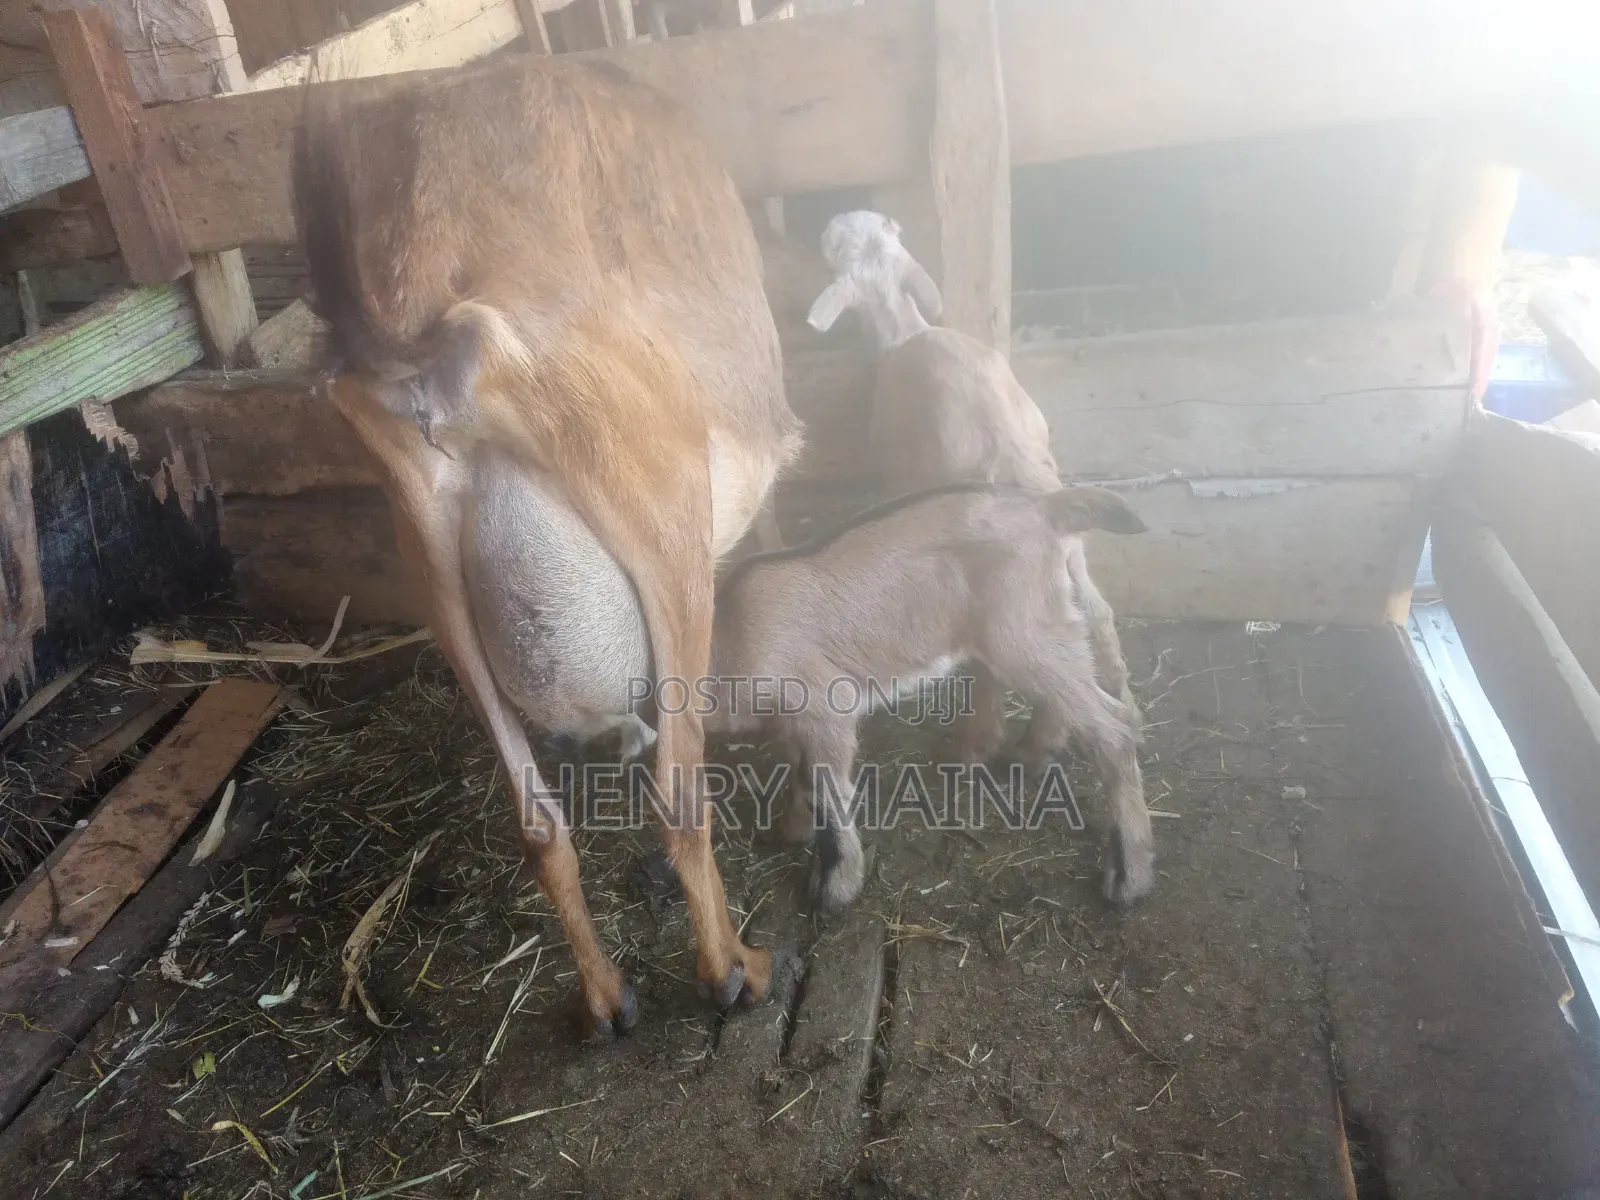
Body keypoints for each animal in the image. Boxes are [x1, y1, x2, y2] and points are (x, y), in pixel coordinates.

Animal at [293, 55, 802, 1037]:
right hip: (661, 520)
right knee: (679, 797)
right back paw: (734, 969)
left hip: (433, 565)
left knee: (537, 825)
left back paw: (606, 997)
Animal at [706, 483, 1156, 911]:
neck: (728, 636)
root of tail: (1046, 507)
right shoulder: (790, 725)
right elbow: (800, 775)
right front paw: (792, 829)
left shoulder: (825, 706)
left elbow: (826, 793)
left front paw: (835, 889)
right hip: (1038, 629)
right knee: (1096, 706)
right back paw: (1031, 756)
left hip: (1021, 631)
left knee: (1110, 732)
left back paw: (1128, 878)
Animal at [806, 211, 1140, 726]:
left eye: (837, 246)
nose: (832, 220)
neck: (902, 329)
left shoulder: (897, 474)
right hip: (1069, 542)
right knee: (1098, 614)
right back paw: (1129, 706)